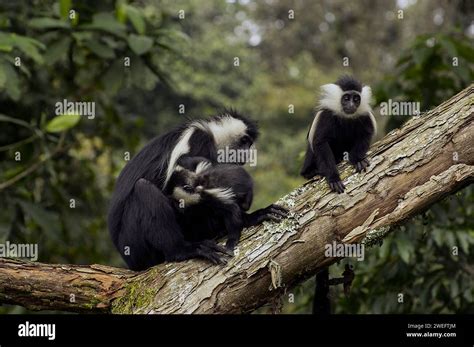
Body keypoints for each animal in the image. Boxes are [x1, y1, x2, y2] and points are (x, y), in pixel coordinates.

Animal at [108, 110, 260, 270]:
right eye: (244, 141)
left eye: (249, 143)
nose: (247, 153)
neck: (214, 137)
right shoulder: (197, 140)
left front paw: (251, 216)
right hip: (135, 245)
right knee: (143, 189)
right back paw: (184, 250)